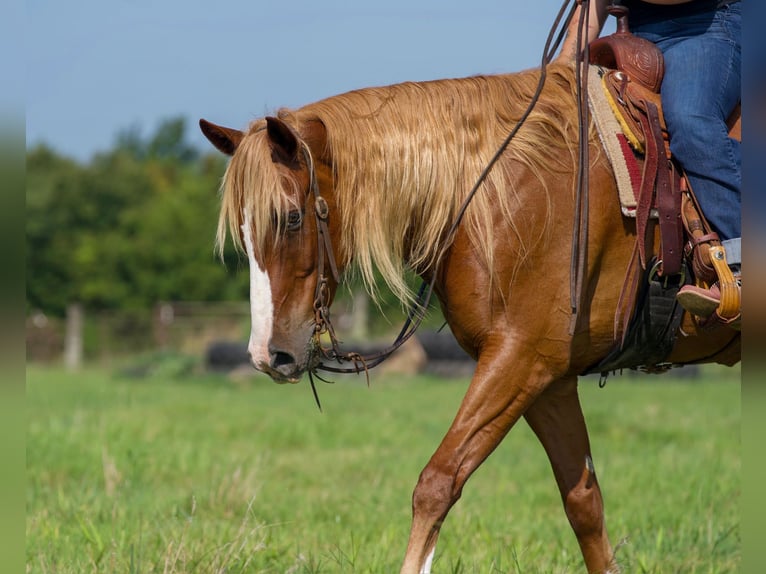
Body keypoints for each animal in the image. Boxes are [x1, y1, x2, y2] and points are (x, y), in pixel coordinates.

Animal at [199, 62, 740, 573]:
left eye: (291, 217)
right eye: (243, 230)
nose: (267, 355)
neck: (502, 195)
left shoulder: (517, 359)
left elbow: (438, 482)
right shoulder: (549, 379)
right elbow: (584, 504)